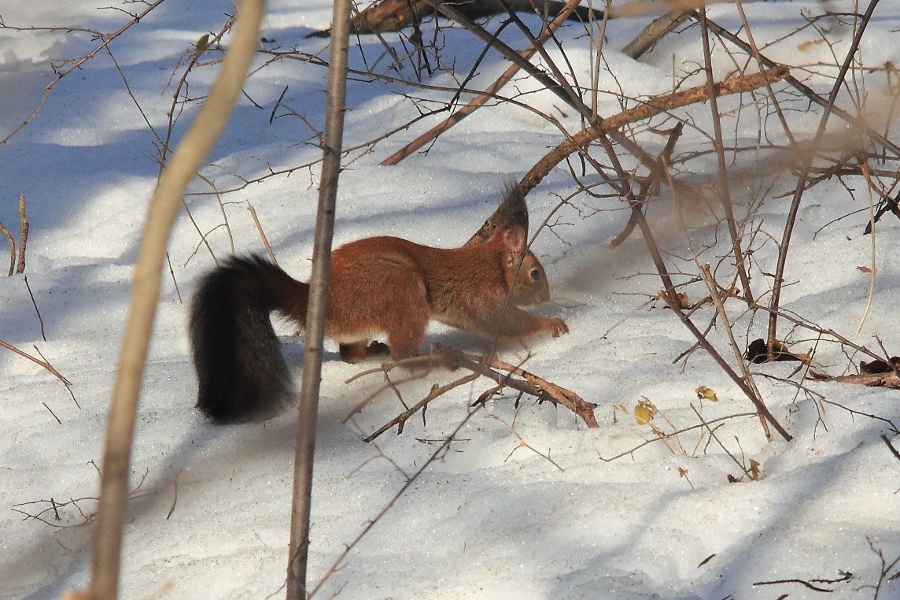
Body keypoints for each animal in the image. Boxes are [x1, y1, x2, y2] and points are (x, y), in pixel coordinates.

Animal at [191, 186, 568, 422]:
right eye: (535, 274)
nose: (548, 296)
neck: (492, 265)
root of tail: (316, 300)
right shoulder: (480, 296)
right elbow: (501, 321)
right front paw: (550, 324)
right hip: (401, 288)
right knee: (402, 352)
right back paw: (434, 362)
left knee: (350, 352)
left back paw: (374, 351)